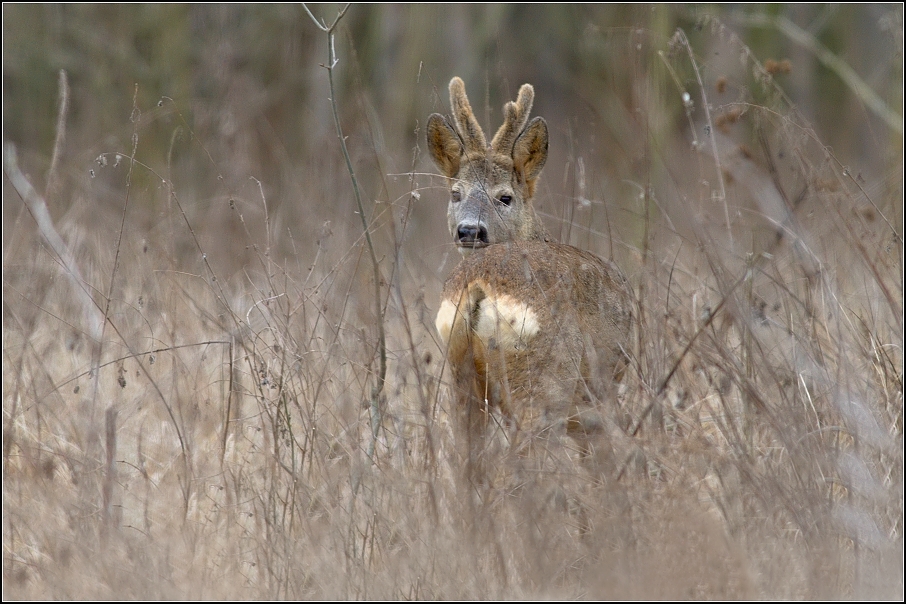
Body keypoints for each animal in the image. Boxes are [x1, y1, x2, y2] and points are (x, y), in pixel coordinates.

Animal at [428, 78, 632, 484]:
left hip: (460, 378)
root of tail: (478, 283)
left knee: (466, 462)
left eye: (505, 197)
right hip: (543, 379)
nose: (469, 230)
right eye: (456, 194)